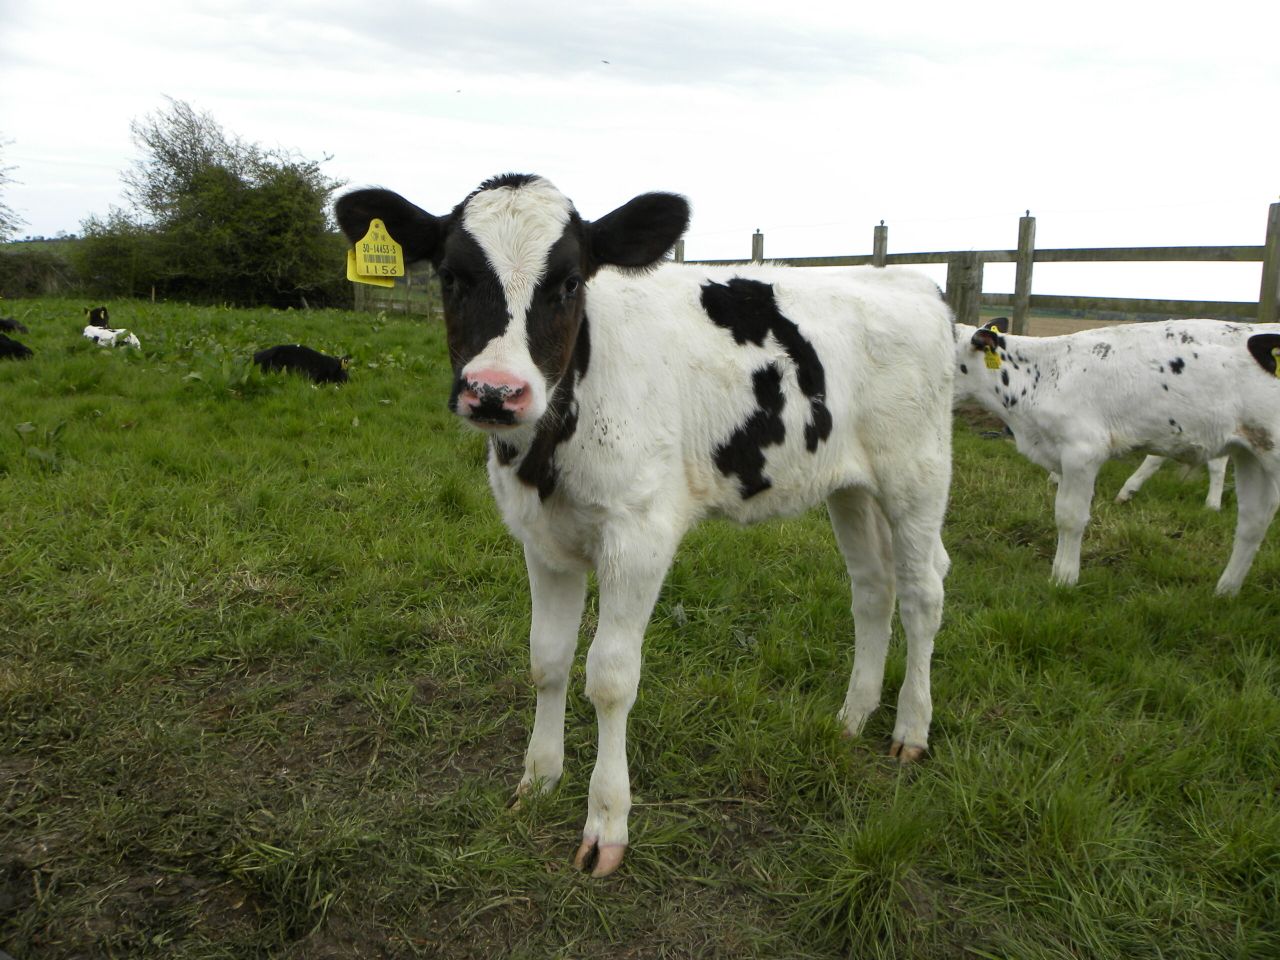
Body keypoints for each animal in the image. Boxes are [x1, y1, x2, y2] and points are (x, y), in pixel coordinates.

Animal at [335, 174, 955, 877]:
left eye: (569, 281)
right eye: (449, 277)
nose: (495, 392)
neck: (548, 451)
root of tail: (910, 281)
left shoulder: (639, 536)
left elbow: (609, 678)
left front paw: (606, 822)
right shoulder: (541, 540)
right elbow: (546, 660)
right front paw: (538, 779)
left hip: (917, 473)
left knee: (924, 591)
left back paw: (910, 729)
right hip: (849, 486)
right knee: (873, 588)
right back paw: (852, 716)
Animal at [953, 317, 1280, 595]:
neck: (1040, 377)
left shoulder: (1082, 451)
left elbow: (1070, 517)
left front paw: (1064, 578)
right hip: (1251, 453)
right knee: (1253, 522)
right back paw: (1225, 592)